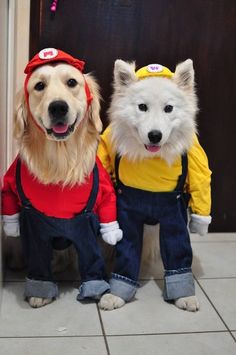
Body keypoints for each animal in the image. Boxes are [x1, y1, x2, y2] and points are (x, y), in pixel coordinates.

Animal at [97, 59, 211, 312]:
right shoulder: (127, 215)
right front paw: (117, 295)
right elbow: (126, 250)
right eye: (142, 107)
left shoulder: (174, 214)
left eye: (169, 108)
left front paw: (184, 297)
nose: (155, 135)